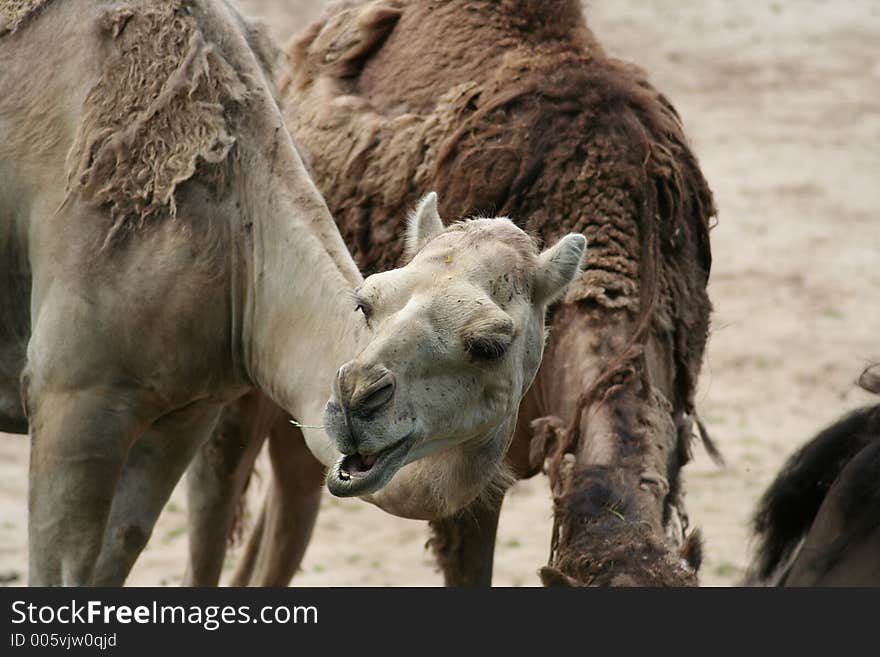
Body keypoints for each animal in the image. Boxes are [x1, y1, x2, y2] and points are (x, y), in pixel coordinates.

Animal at [1, 0, 592, 584]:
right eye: (367, 301)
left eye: (490, 343)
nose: (355, 397)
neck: (235, 241)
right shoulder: (72, 393)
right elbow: (61, 572)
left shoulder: (185, 411)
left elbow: (118, 550)